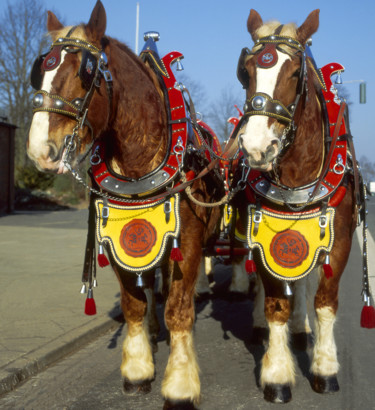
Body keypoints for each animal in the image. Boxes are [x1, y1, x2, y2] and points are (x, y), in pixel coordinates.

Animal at [27, 2, 225, 406]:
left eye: (85, 72)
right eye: (40, 70)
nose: (40, 150)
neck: (138, 164)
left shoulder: (188, 243)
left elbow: (179, 310)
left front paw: (180, 385)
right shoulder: (118, 238)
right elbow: (134, 303)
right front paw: (138, 369)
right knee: (149, 284)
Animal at [235, 8, 362, 404]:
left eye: (294, 73)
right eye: (246, 71)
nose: (257, 147)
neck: (296, 176)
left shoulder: (339, 241)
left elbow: (325, 302)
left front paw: (325, 367)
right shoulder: (263, 234)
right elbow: (276, 302)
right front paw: (277, 375)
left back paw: (303, 329)